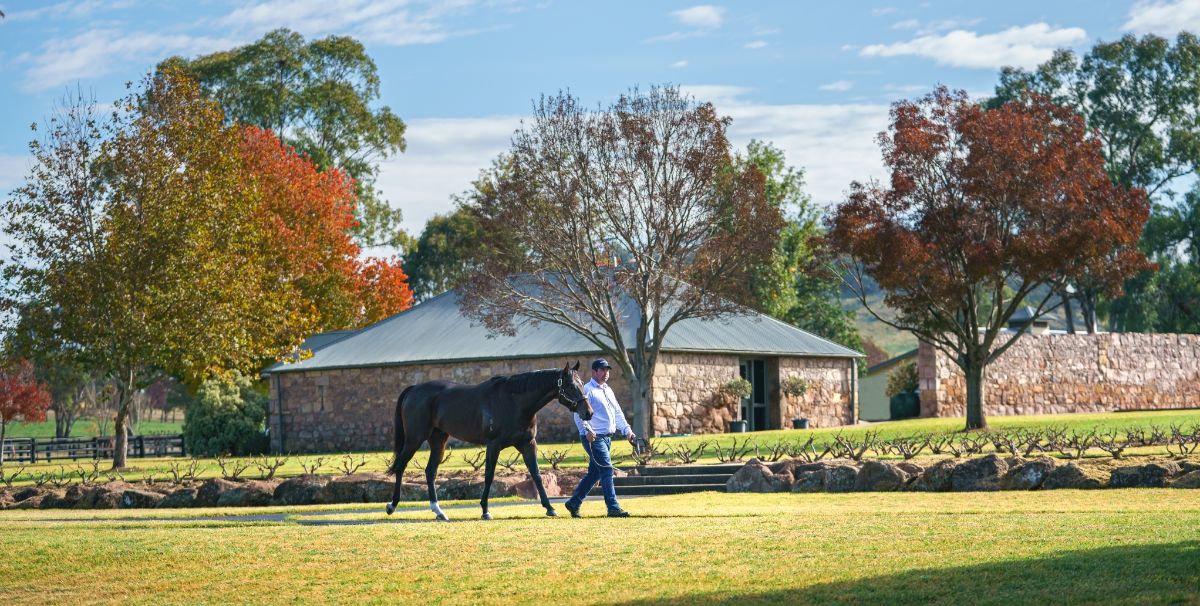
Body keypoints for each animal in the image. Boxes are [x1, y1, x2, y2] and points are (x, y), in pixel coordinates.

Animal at [384, 362, 590, 523]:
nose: (588, 412)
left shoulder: (528, 444)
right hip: (415, 438)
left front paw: (550, 508)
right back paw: (392, 506)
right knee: (401, 466)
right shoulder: (494, 445)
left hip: (438, 439)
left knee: (430, 471)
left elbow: (537, 474)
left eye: (581, 384)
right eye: (571, 386)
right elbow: (489, 475)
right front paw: (485, 511)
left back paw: (439, 512)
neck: (514, 402)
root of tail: (414, 389)